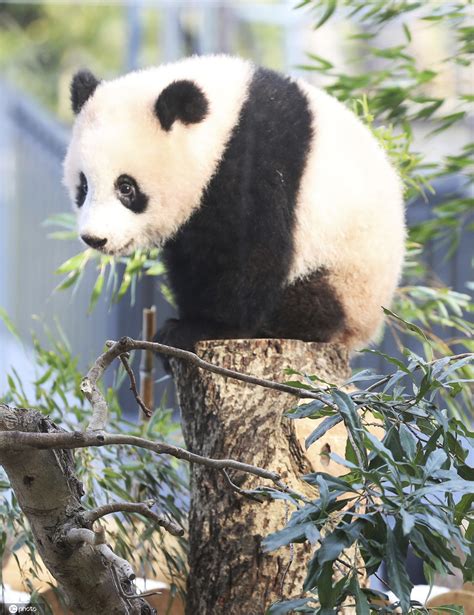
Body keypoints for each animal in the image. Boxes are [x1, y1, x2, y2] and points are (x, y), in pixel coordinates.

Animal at [62, 56, 404, 358]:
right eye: (83, 187)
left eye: (126, 187)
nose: (95, 238)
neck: (220, 129)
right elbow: (193, 260)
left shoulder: (258, 162)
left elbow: (253, 254)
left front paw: (200, 328)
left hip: (346, 273)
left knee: (316, 304)